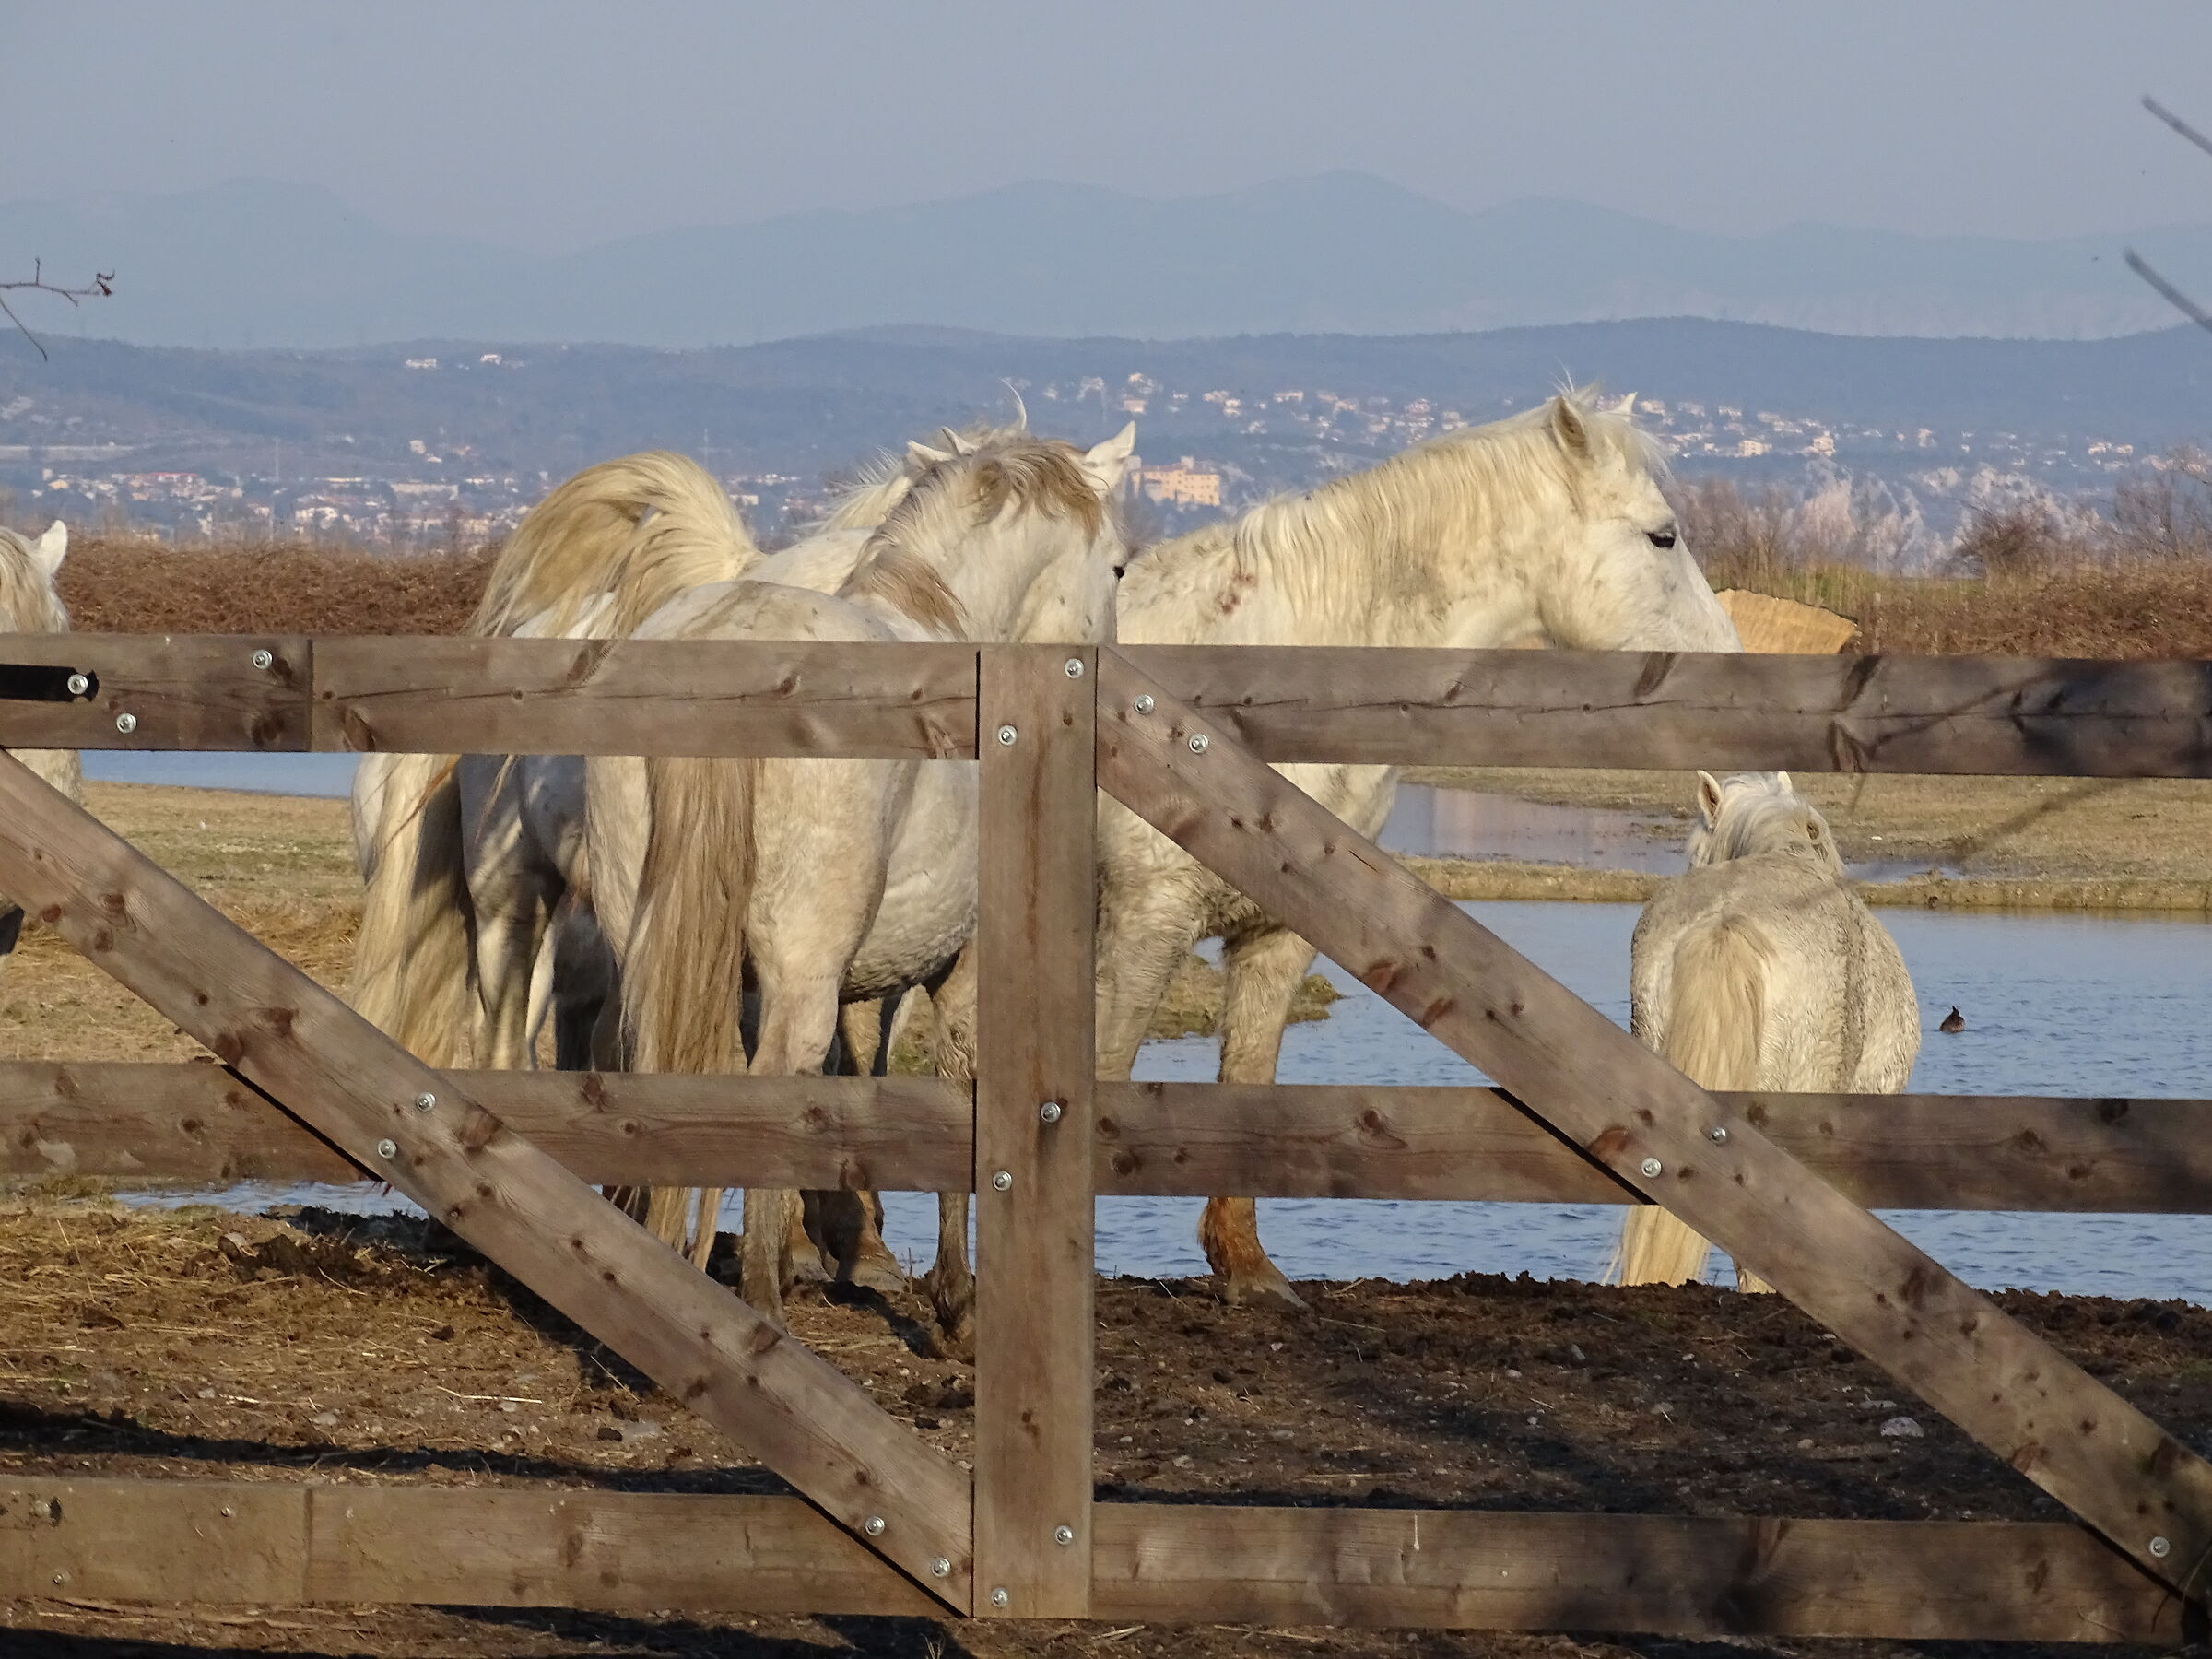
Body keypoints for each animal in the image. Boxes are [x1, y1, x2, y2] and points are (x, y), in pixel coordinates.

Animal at [587, 425, 1133, 1325]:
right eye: (1120, 567)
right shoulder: (963, 963)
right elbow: (954, 1082)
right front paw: (955, 1299)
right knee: (778, 1078)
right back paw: (761, 1300)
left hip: (652, 941)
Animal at [1091, 390, 1743, 1312]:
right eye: (1663, 536)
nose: (1732, 660)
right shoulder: (1143, 925)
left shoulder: (1277, 935)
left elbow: (1249, 1081)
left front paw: (1247, 1269)